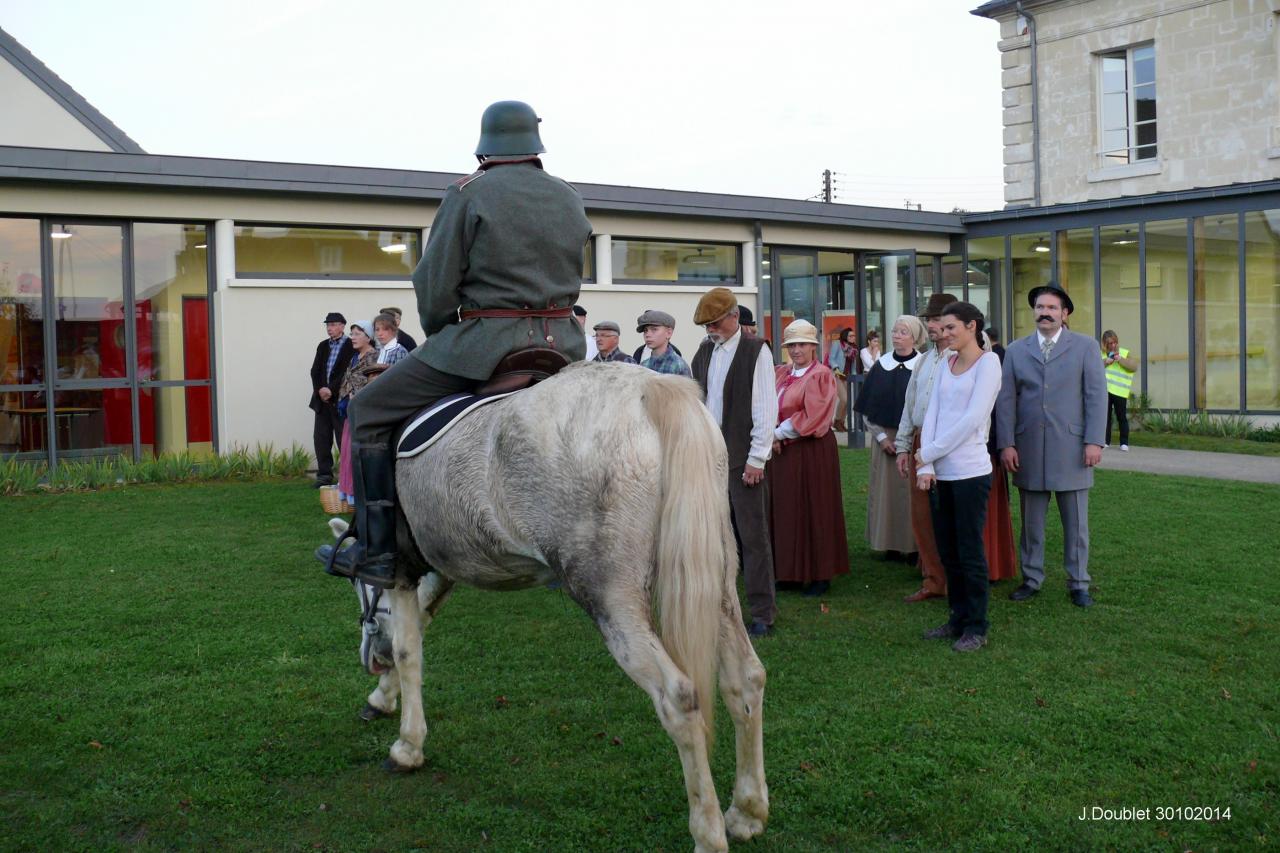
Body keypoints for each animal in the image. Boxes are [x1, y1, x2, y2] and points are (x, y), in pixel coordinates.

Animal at [335, 361, 762, 845]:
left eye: (360, 588)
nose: (373, 660)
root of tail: (651, 389)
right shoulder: (445, 567)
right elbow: (422, 624)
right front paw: (381, 697)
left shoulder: (403, 572)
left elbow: (409, 650)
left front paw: (407, 744)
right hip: (715, 584)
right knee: (746, 680)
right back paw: (746, 812)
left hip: (610, 598)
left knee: (679, 699)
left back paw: (708, 834)